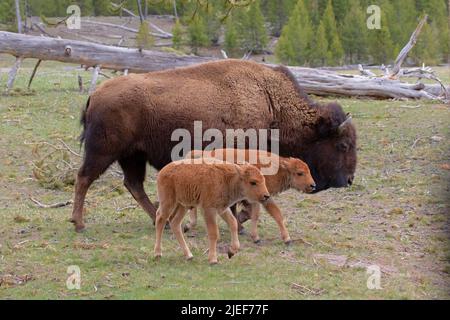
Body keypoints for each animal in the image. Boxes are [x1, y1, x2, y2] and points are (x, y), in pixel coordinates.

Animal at [72, 59, 356, 232]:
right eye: (342, 145)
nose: (350, 179)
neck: (271, 103)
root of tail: (94, 95)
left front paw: (239, 223)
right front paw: (239, 223)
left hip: (133, 155)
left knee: (133, 185)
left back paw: (162, 221)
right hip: (104, 152)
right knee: (85, 178)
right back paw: (79, 223)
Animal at [185, 149, 314, 244]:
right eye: (300, 173)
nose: (313, 185)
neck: (278, 169)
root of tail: (205, 154)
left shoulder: (265, 198)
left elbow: (276, 214)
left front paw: (287, 239)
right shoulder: (258, 199)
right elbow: (257, 215)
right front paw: (256, 238)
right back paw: (189, 225)